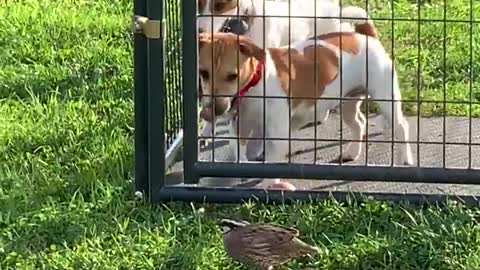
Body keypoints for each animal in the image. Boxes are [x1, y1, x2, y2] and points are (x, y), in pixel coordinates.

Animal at [197, 21, 414, 165]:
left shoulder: (278, 132)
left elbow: (271, 159)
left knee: (401, 126)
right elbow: (240, 152)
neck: (254, 87)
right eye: (203, 73)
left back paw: (405, 159)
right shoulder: (239, 128)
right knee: (359, 123)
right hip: (348, 102)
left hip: (386, 98)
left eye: (232, 76)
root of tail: (365, 35)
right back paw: (351, 152)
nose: (210, 111)